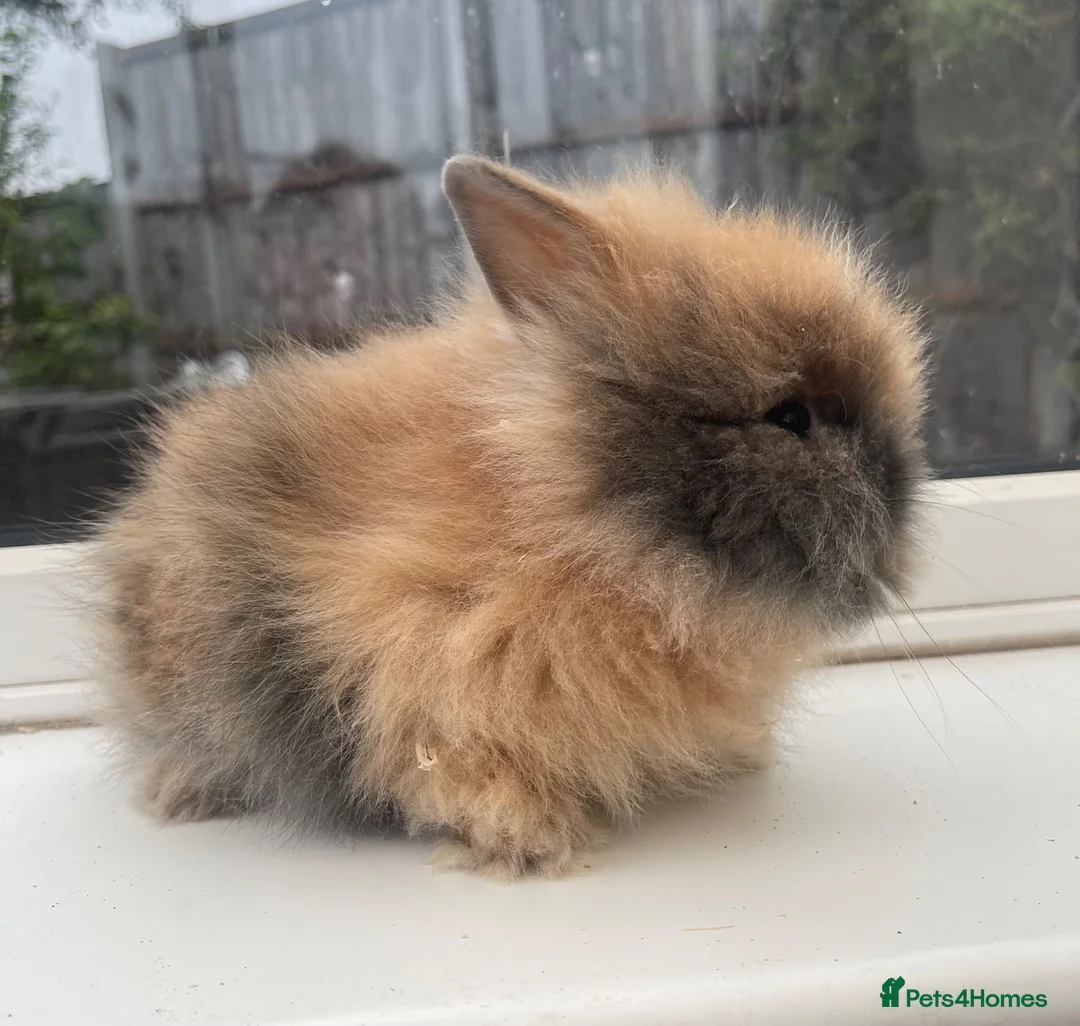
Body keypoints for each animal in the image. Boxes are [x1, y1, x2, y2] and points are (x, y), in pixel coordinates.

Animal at [93, 155, 927, 879]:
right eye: (790, 417)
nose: (902, 498)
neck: (573, 524)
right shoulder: (423, 663)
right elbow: (456, 767)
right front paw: (533, 840)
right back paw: (182, 793)